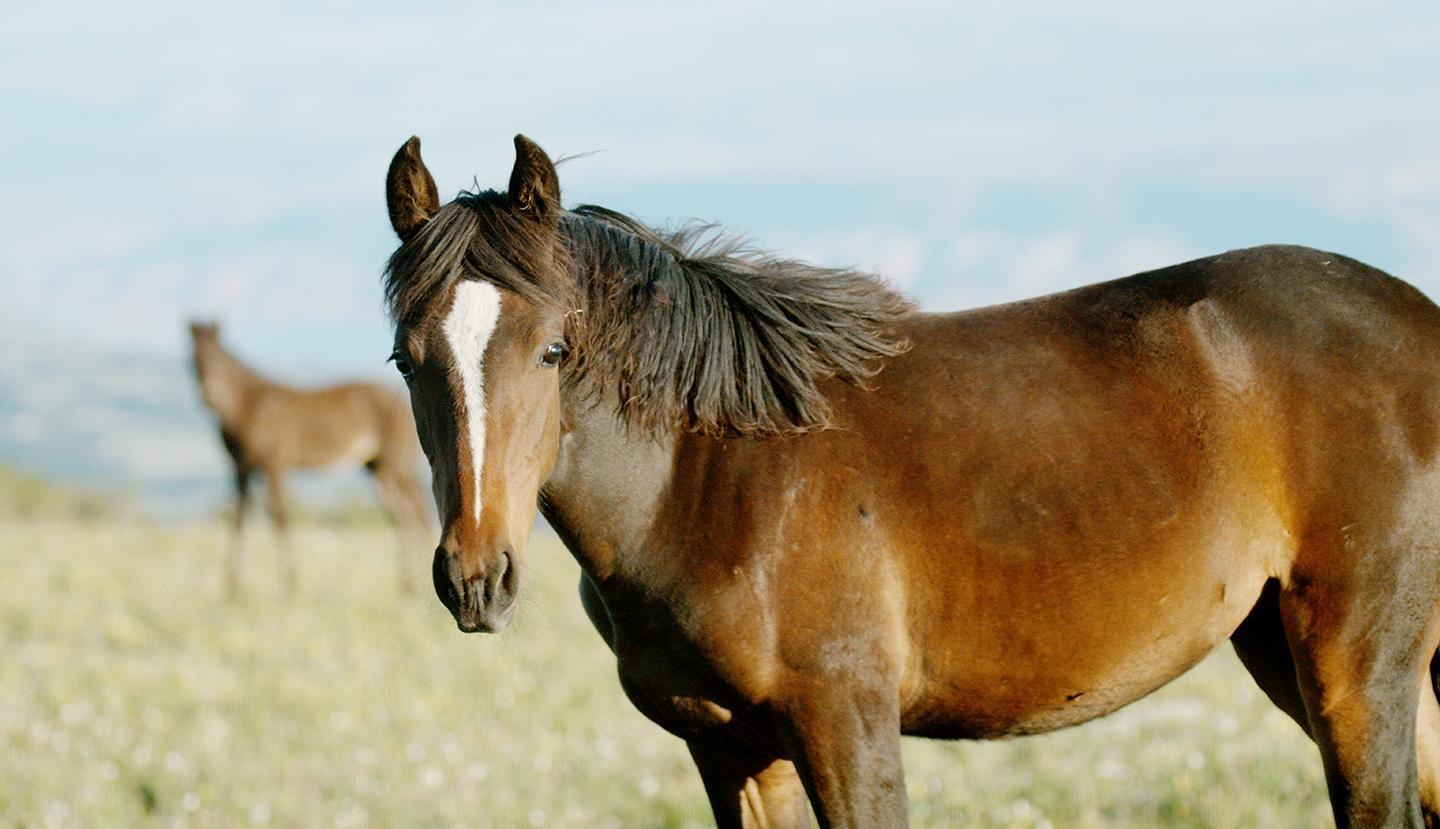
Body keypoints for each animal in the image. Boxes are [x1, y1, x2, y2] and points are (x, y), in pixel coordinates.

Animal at [188, 321, 430, 594]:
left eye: (218, 357)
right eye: (194, 359)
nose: (208, 395)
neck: (247, 406)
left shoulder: (274, 464)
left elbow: (280, 516)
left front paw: (290, 583)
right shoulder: (240, 468)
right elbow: (239, 518)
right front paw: (232, 585)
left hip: (398, 462)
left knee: (419, 509)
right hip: (376, 466)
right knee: (400, 514)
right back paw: (406, 584)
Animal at [378, 134, 1440, 828]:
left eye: (555, 349)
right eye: (405, 358)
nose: (476, 578)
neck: (709, 475)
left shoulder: (846, 724)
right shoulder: (731, 748)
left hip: (1355, 664)